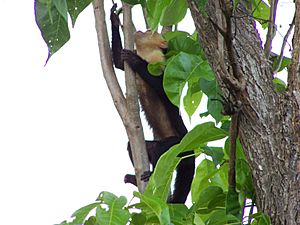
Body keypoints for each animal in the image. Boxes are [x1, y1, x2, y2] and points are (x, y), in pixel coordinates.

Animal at [110, 3, 195, 204]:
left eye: (150, 31)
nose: (144, 29)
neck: (148, 55)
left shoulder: (160, 63)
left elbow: (164, 89)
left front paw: (136, 61)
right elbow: (118, 62)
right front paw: (114, 17)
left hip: (178, 144)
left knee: (160, 151)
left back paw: (152, 176)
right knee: (135, 146)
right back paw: (135, 179)